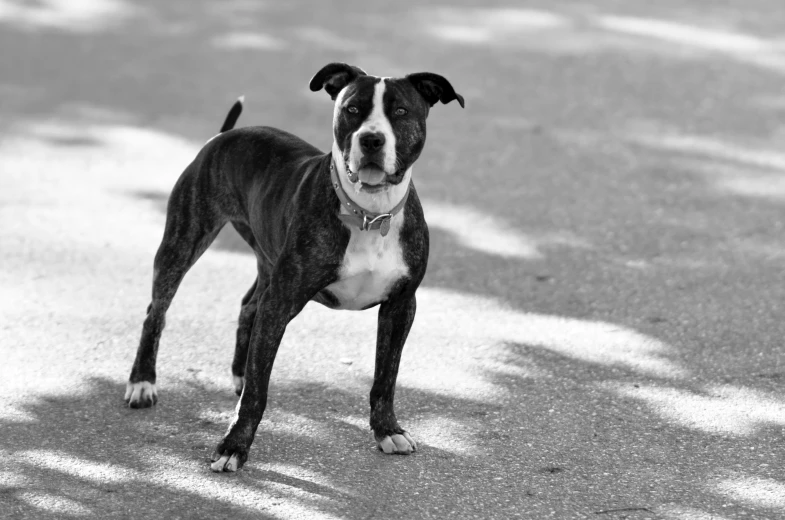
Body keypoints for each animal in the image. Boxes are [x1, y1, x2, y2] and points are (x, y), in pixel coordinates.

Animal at [125, 62, 462, 472]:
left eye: (400, 111)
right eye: (352, 109)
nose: (371, 140)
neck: (368, 214)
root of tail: (224, 135)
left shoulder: (400, 306)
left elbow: (386, 377)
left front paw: (387, 431)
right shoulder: (282, 302)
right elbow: (258, 394)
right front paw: (233, 447)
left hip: (266, 261)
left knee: (247, 306)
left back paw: (239, 372)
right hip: (182, 243)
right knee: (156, 313)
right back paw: (143, 382)